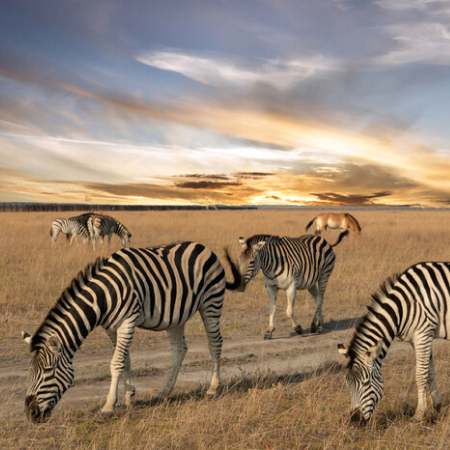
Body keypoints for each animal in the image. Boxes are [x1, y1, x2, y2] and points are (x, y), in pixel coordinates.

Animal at [22, 243, 243, 422]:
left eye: (48, 371)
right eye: (30, 372)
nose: (30, 414)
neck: (103, 297)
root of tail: (204, 247)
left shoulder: (127, 322)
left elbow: (116, 363)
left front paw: (108, 406)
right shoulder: (111, 327)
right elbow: (125, 360)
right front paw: (129, 397)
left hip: (211, 303)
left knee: (215, 343)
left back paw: (213, 388)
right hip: (177, 316)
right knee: (179, 350)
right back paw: (164, 392)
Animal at [336, 262, 450, 424]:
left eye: (366, 383)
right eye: (347, 384)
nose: (355, 420)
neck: (404, 306)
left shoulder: (423, 335)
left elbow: (420, 374)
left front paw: (419, 414)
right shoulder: (419, 338)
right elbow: (429, 372)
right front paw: (437, 405)